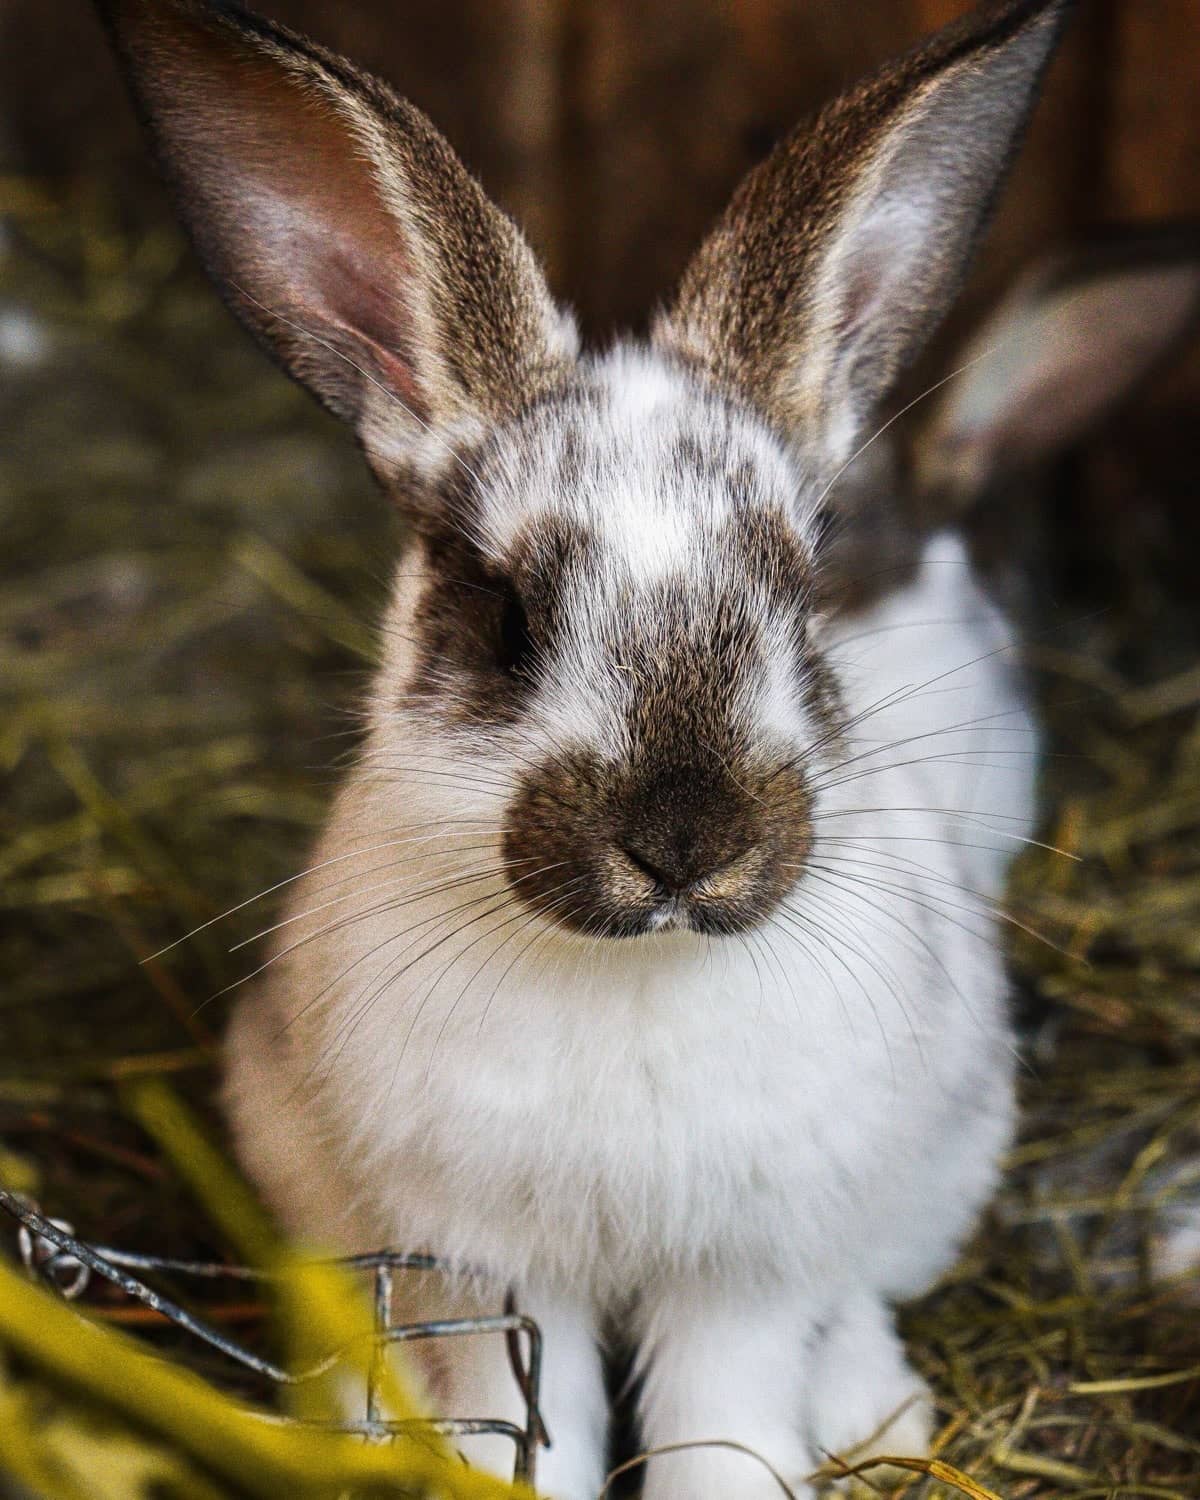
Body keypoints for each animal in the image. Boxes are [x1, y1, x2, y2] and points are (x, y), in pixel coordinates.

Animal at [99, 0, 1076, 1495]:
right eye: (507, 616)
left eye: (803, 595)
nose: (684, 844)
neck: (637, 974)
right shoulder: (489, 1262)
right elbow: (527, 1420)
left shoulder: (743, 1268)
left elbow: (724, 1418)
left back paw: (879, 1414)